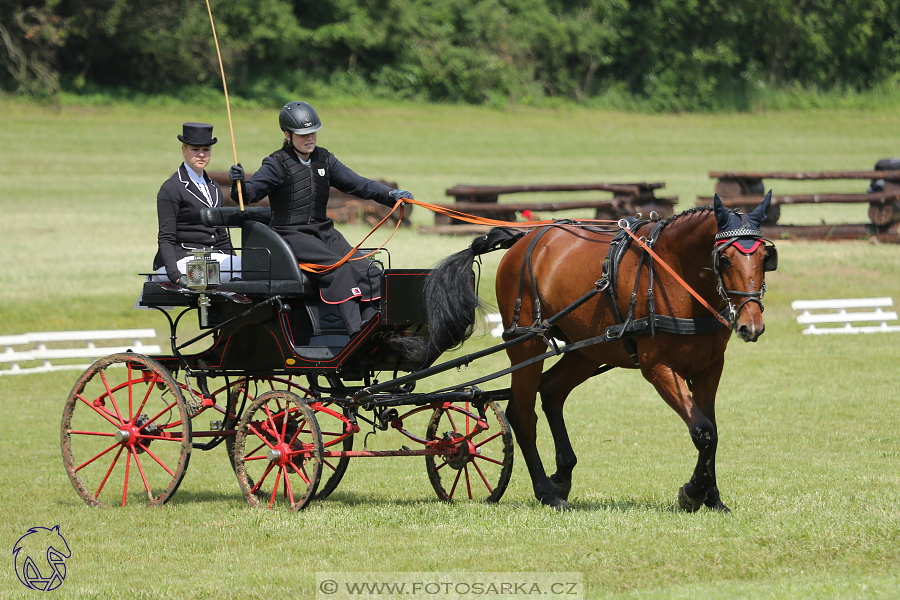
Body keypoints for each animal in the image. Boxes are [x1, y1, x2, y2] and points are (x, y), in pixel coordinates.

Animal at [418, 193, 776, 510]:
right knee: (522, 415)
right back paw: (546, 492)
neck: (674, 274)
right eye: (724, 259)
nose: (751, 325)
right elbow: (702, 431)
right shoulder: (658, 367)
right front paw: (692, 493)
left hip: (589, 349)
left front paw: (712, 498)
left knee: (551, 391)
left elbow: (710, 430)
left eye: (764, 258)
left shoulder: (710, 368)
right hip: (526, 343)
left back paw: (561, 475)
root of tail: (525, 239)